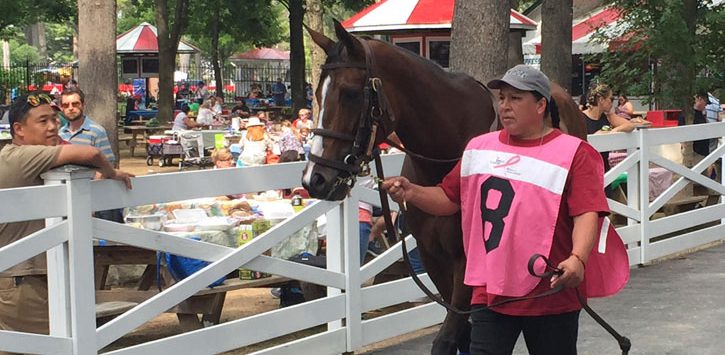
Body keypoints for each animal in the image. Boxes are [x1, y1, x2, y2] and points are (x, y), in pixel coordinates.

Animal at [302, 20, 588, 355]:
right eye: (317, 93)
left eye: (349, 93)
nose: (315, 178)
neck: (446, 151)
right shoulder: (432, 257)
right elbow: (462, 333)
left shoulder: (467, 263)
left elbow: (447, 338)